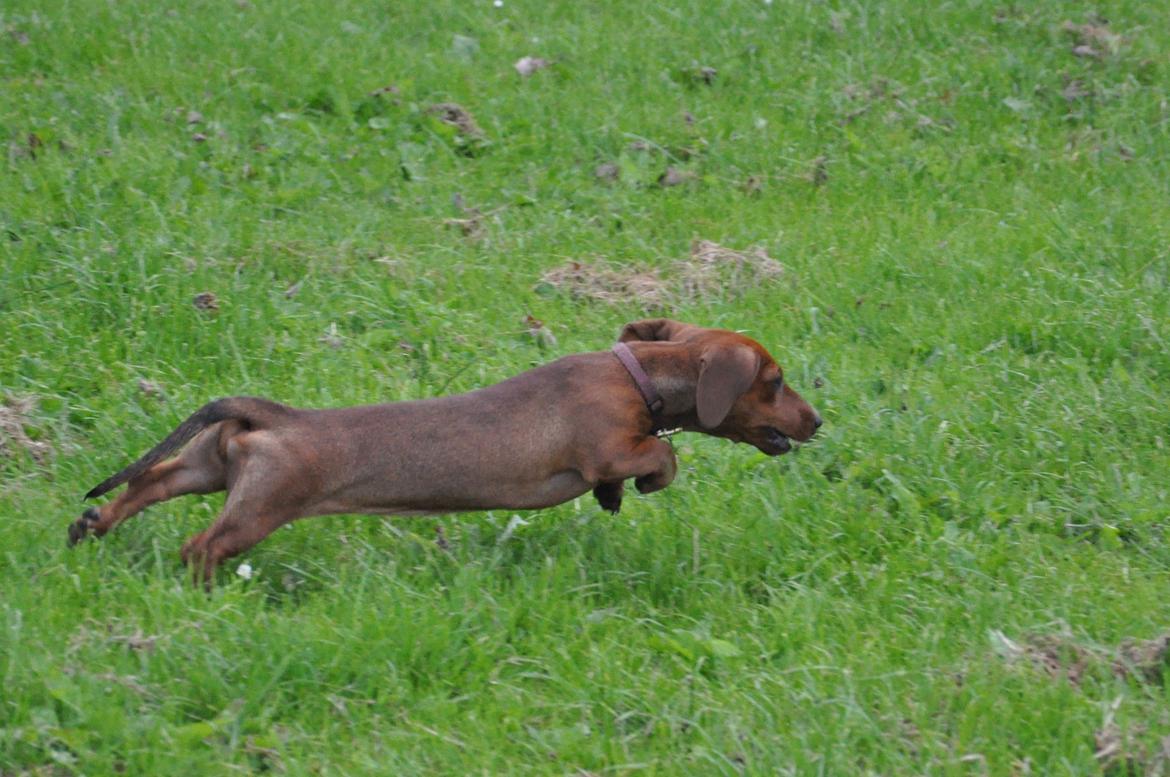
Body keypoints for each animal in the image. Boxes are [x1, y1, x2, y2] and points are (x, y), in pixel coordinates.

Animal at [70, 318, 823, 580]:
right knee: (198, 546)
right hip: (258, 508)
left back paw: (91, 524)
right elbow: (663, 459)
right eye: (775, 381)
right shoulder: (606, 448)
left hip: (207, 467)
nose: (818, 421)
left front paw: (616, 499)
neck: (637, 375)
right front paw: (636, 485)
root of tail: (269, 413)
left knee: (146, 484)